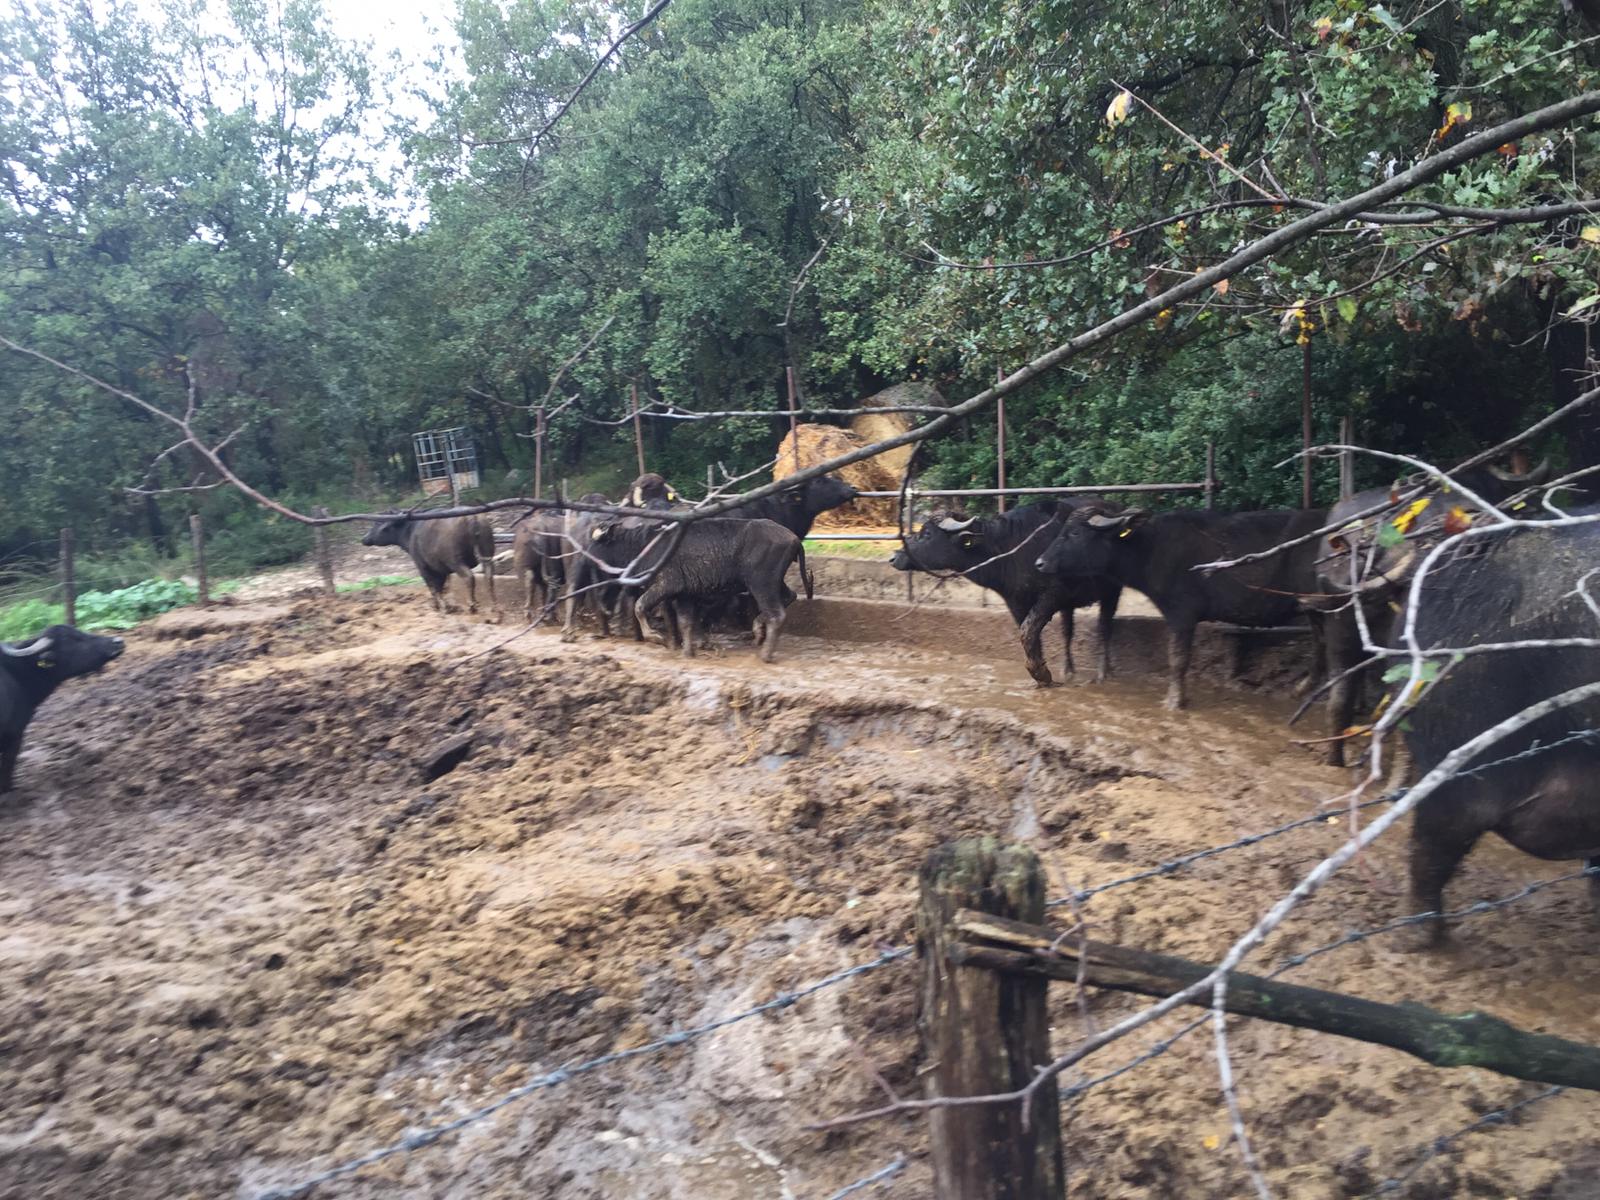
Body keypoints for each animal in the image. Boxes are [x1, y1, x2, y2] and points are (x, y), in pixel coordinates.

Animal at [364, 512, 499, 614]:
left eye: (378, 522)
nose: (364, 538)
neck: (411, 531)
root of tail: (472, 518)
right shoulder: (441, 569)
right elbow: (441, 586)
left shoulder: (424, 567)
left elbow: (433, 586)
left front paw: (439, 606)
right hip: (487, 553)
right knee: (489, 576)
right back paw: (494, 606)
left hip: (455, 561)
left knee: (469, 577)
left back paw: (472, 606)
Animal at [889, 499, 1126, 684]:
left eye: (927, 534)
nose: (894, 556)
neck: (1009, 549)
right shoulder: (1016, 601)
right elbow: (1028, 634)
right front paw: (1040, 673)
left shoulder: (1053, 594)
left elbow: (1028, 632)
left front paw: (1041, 673)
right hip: (1071, 604)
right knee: (1068, 631)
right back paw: (1068, 670)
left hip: (1111, 592)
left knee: (1105, 627)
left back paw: (1103, 671)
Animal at [1036, 499, 1324, 710]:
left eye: (1074, 533)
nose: (1040, 563)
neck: (1153, 547)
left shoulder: (1181, 614)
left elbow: (1178, 658)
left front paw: (1174, 701)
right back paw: (1303, 690)